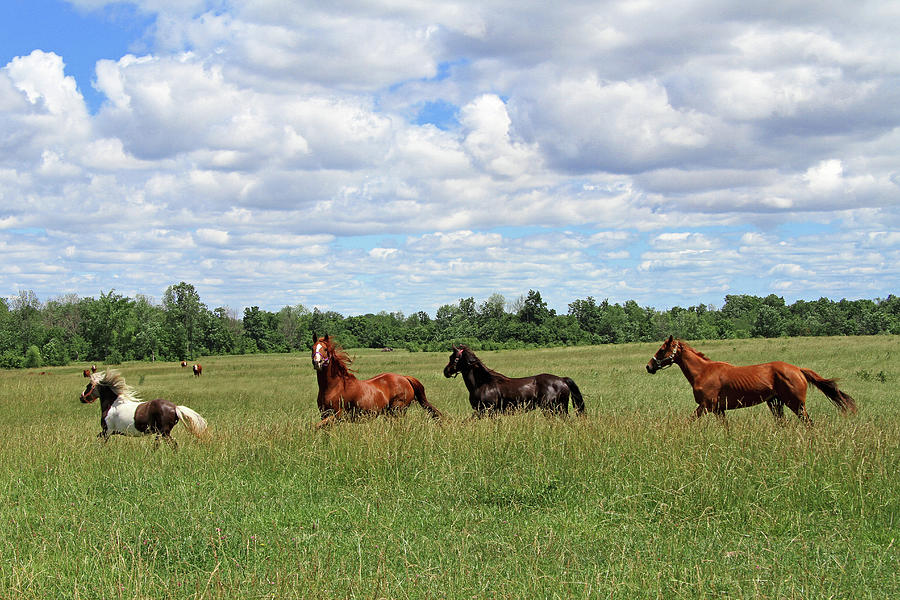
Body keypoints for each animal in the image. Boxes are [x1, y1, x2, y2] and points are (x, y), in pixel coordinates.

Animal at [79, 368, 207, 448]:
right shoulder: (108, 432)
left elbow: (99, 440)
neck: (112, 404)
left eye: (88, 386)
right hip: (161, 433)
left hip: (164, 432)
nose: (81, 398)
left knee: (172, 445)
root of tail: (175, 407)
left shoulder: (107, 430)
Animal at [312, 332, 444, 426]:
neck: (334, 387)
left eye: (325, 349)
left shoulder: (337, 415)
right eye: (312, 348)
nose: (317, 362)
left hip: (398, 411)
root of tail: (405, 378)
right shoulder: (324, 414)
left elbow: (315, 426)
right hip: (389, 413)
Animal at [442, 344, 584, 414]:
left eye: (454, 358)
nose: (446, 371)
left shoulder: (486, 411)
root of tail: (562, 380)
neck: (482, 384)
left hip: (552, 409)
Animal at [648, 336, 856, 424]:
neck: (703, 372)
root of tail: (798, 369)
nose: (649, 366)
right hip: (775, 403)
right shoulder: (719, 410)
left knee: (808, 423)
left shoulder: (706, 406)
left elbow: (688, 421)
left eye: (662, 349)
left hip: (795, 404)